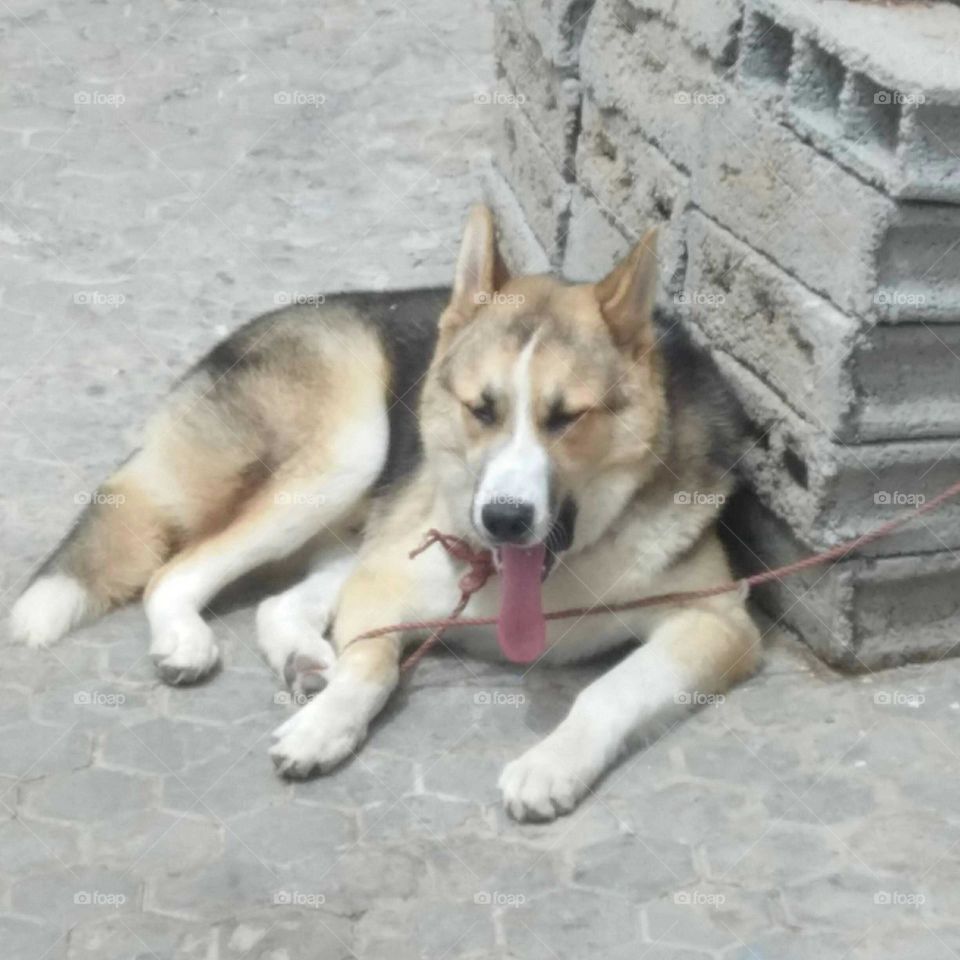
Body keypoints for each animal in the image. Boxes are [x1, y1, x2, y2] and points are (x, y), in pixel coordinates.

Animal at [7, 206, 756, 820]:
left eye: (566, 417)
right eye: (482, 409)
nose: (503, 520)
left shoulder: (717, 621)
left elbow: (610, 691)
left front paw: (551, 763)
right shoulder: (386, 582)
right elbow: (372, 665)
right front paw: (328, 724)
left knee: (276, 602)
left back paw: (305, 661)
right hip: (350, 450)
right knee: (177, 572)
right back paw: (196, 642)